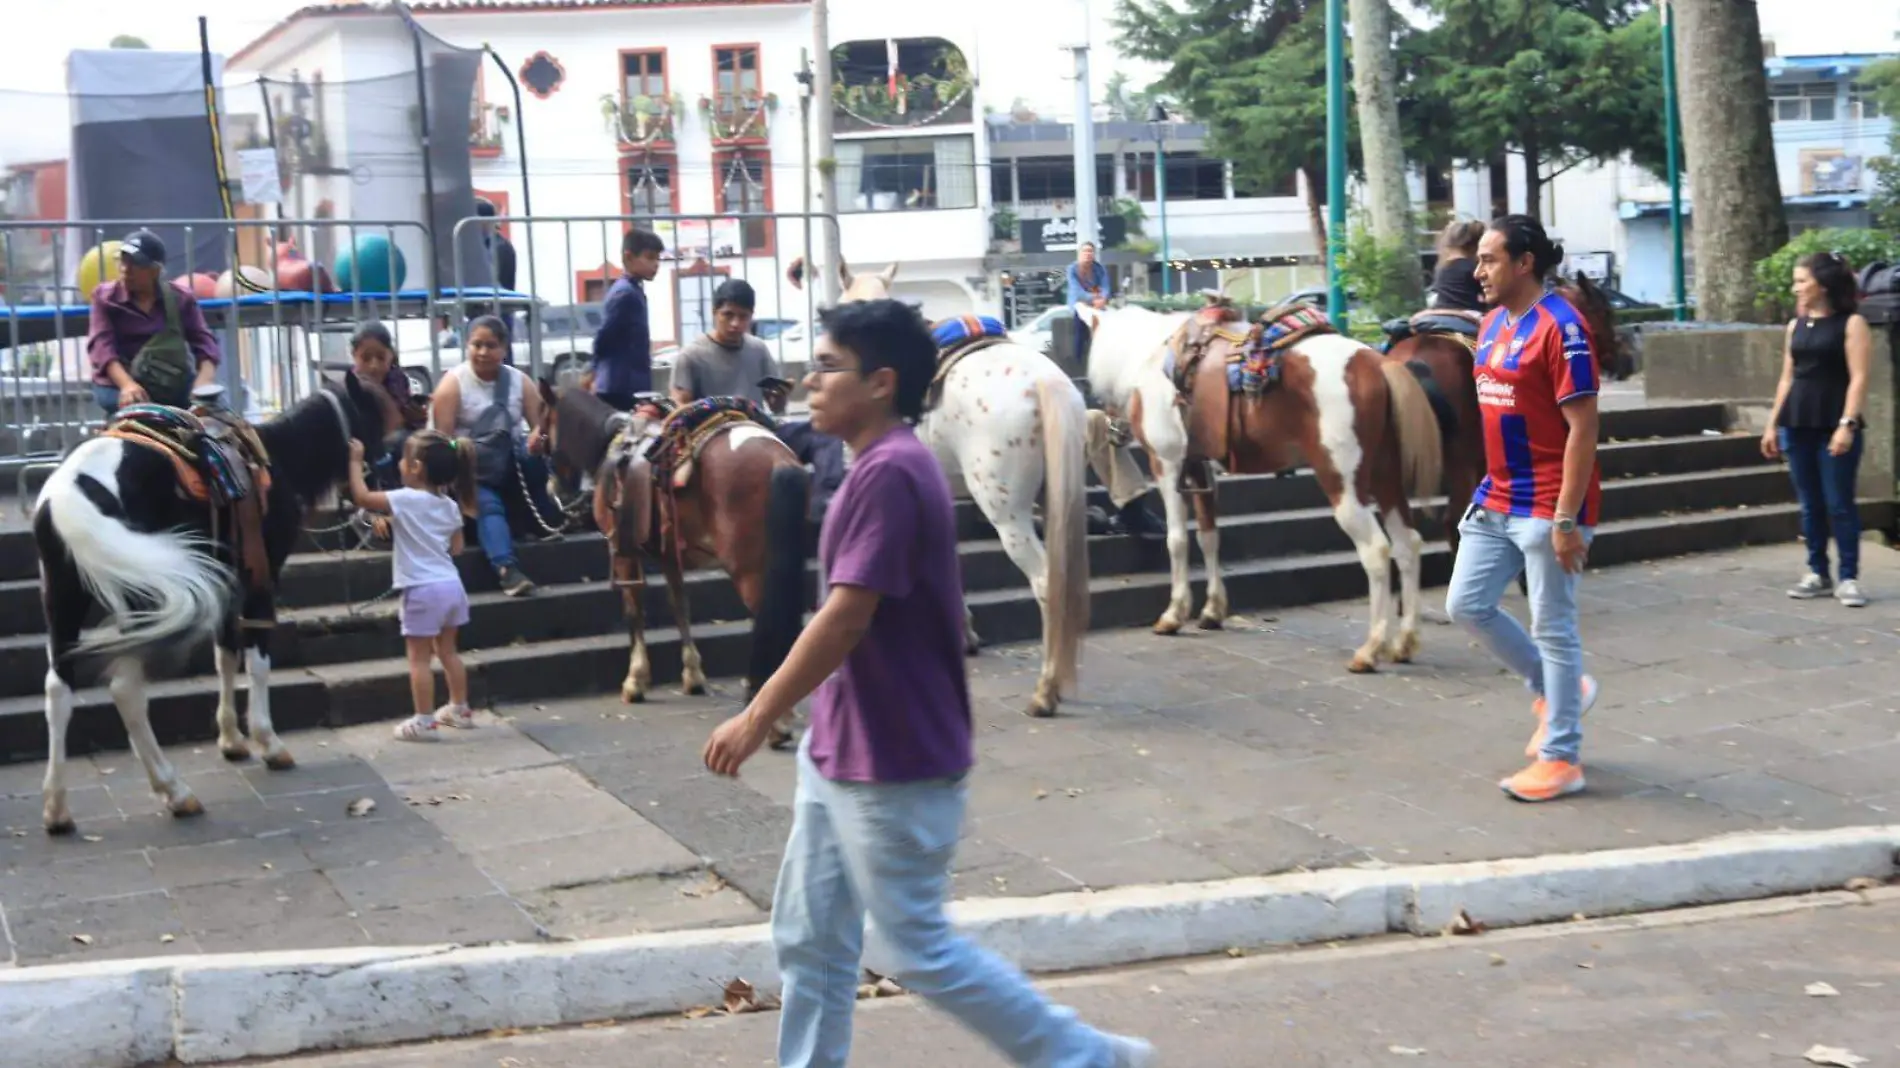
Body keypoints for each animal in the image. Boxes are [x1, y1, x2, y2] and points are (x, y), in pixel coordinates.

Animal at [34, 374, 404, 832]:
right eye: (375, 423)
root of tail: (69, 491)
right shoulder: (261, 576)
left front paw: (231, 739)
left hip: (64, 599)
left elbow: (225, 655)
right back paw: (174, 791)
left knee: (59, 690)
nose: (384, 493)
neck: (277, 459)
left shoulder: (228, 580)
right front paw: (267, 742)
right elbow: (257, 659)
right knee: (125, 689)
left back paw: (58, 808)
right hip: (140, 598)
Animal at [535, 381, 809, 706]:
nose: (553, 490)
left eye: (542, 424)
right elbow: (680, 606)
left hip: (749, 570)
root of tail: (779, 459)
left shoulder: (624, 552)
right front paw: (693, 675)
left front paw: (635, 680)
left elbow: (634, 611)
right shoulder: (668, 554)